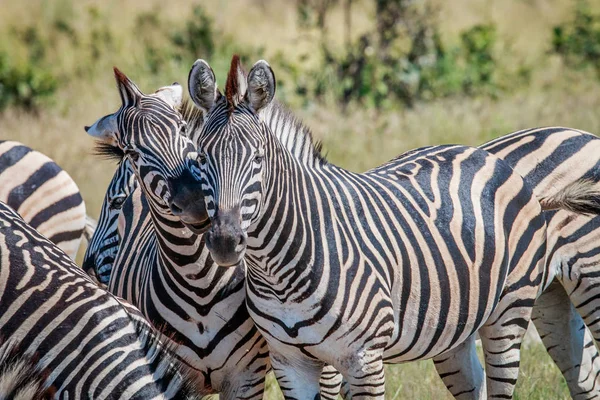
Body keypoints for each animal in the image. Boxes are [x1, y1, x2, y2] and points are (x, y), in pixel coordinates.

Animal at [190, 56, 600, 400]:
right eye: (200, 157)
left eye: (258, 159)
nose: (225, 241)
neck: (280, 265)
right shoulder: (290, 363)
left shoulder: (363, 359)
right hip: (509, 309)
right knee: (582, 378)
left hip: (519, 307)